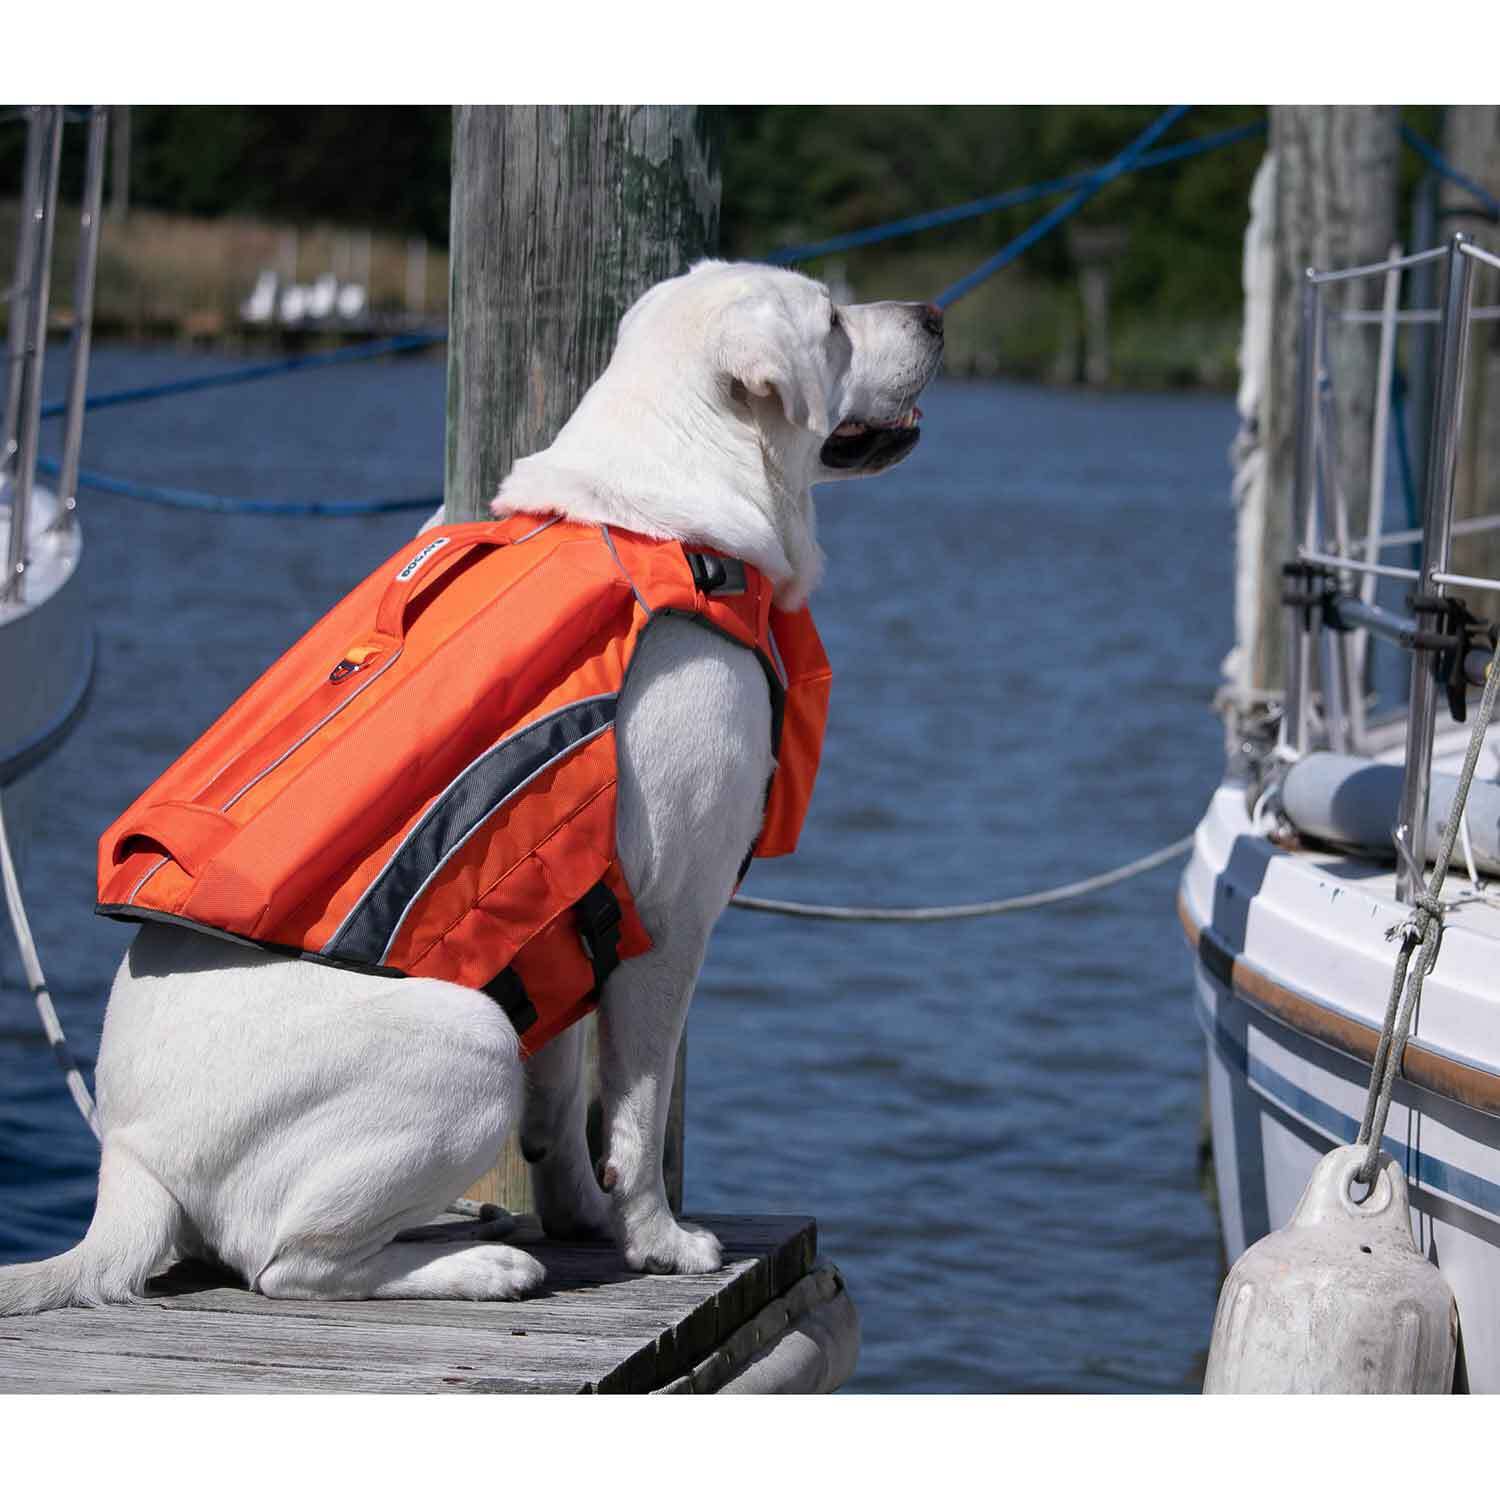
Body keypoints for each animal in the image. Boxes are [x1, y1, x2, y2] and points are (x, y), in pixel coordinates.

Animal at [0, 260, 942, 1310]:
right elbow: (637, 1109)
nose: (933, 315)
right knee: (291, 1266)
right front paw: (659, 1242)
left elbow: (563, 1104)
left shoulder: (573, 921)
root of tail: (129, 1163)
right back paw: (483, 1265)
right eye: (832, 324)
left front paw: (584, 1216)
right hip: (471, 1038)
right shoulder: (669, 922)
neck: (666, 510)